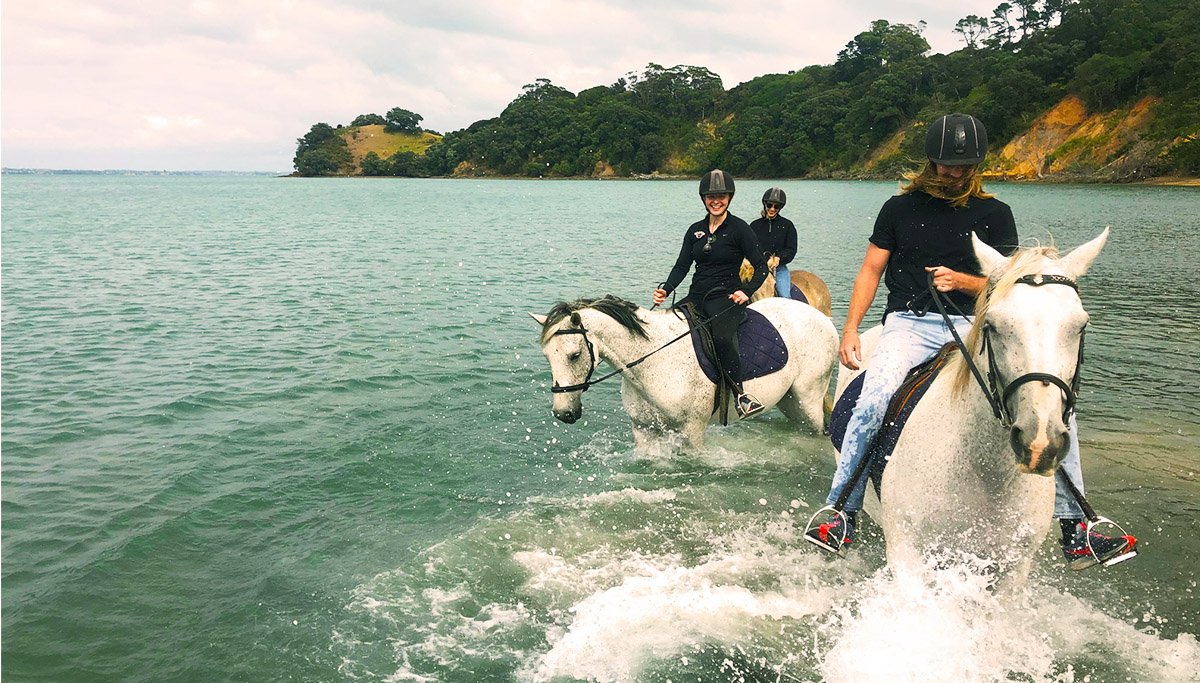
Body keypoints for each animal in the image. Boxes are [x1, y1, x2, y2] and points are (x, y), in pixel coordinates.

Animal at [530, 295, 840, 448]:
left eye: (574, 355)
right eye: (547, 356)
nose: (564, 413)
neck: (653, 358)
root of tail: (823, 318)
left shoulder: (692, 431)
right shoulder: (644, 431)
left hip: (808, 399)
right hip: (790, 402)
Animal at [835, 229, 1104, 580]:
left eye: (1080, 326)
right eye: (992, 325)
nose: (1038, 444)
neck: (987, 475)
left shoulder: (1012, 567)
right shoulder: (908, 554)